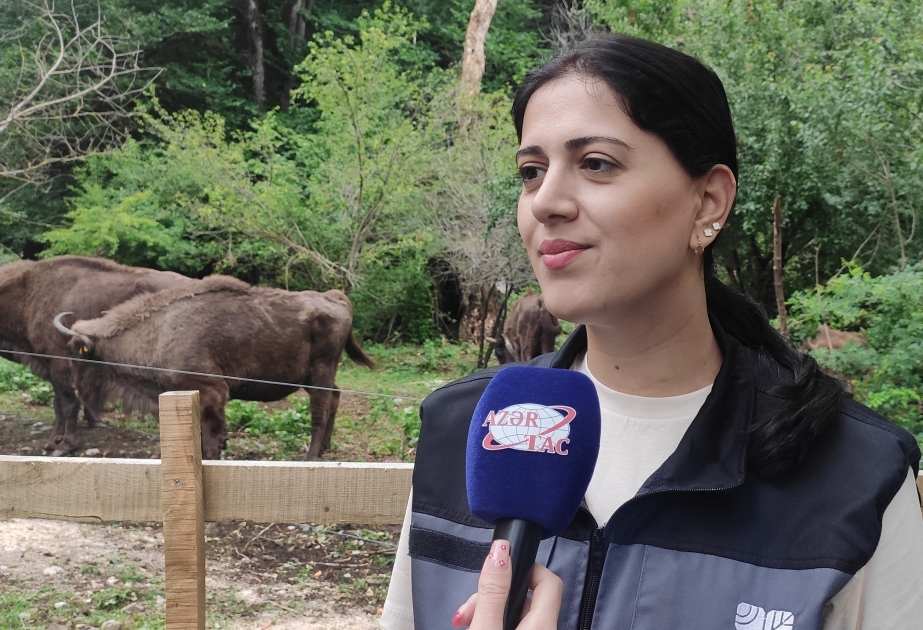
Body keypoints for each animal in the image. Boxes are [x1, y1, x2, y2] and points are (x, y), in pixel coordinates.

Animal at [0, 256, 188, 454]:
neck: (28, 290)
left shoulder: (60, 364)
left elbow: (68, 404)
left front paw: (64, 445)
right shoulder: (52, 367)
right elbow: (58, 404)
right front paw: (54, 441)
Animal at [53, 276, 376, 460]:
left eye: (78, 355)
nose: (78, 391)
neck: (160, 329)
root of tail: (335, 298)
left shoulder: (212, 392)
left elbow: (211, 435)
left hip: (319, 374)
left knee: (320, 409)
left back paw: (311, 456)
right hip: (319, 376)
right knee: (334, 398)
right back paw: (324, 449)